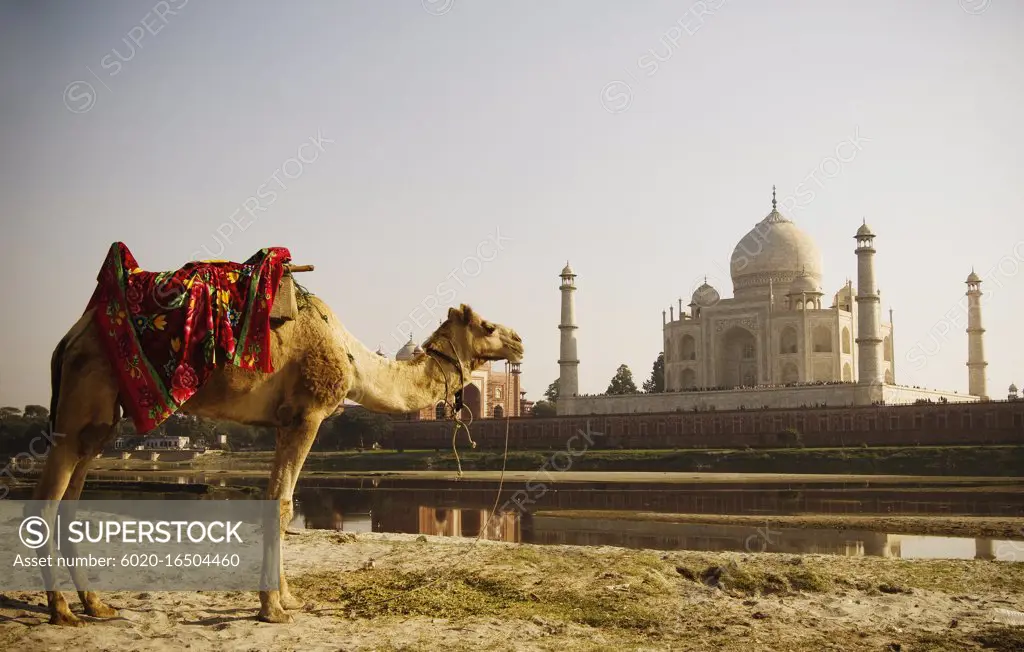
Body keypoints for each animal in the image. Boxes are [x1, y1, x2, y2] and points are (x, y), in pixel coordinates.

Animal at [32, 296, 524, 626]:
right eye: (487, 325)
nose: (519, 341)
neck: (352, 360)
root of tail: (68, 337)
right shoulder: (308, 414)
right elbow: (284, 505)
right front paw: (271, 608)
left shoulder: (286, 420)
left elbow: (276, 501)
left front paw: (286, 600)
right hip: (85, 391)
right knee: (48, 500)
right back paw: (61, 611)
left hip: (102, 415)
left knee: (73, 495)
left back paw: (96, 604)